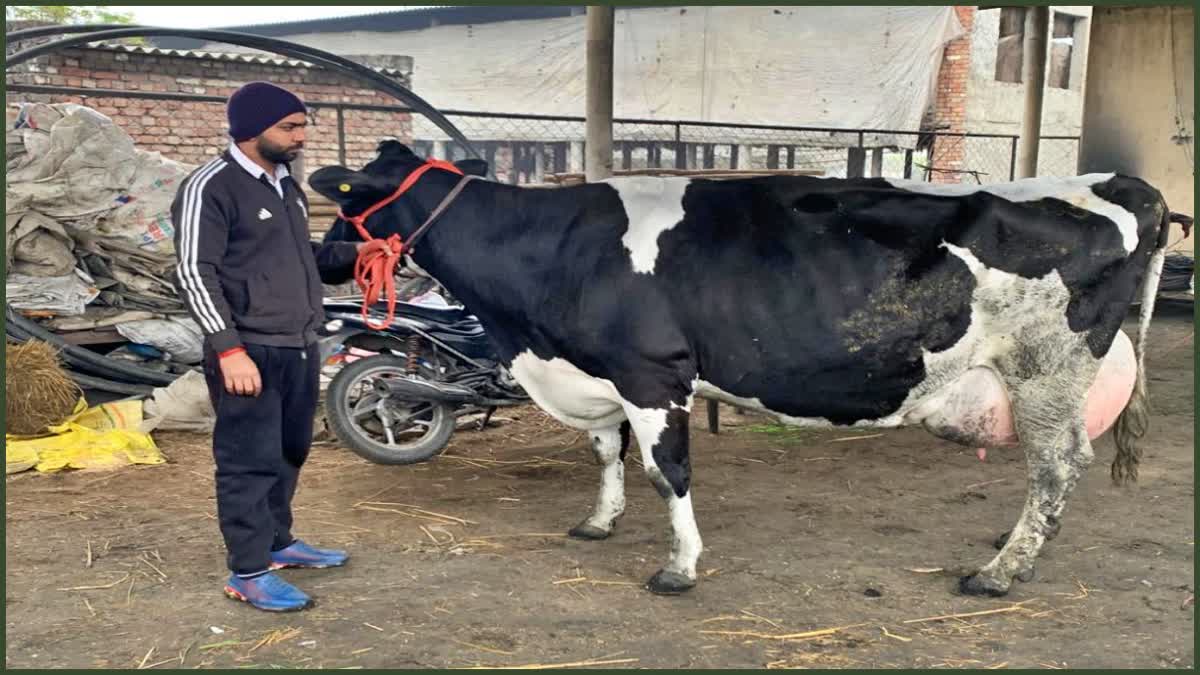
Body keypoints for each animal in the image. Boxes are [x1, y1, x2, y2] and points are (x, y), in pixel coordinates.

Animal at [312, 140, 1180, 593]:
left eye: (349, 199)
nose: (321, 260)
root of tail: (1118, 181)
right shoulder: (600, 376)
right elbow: (604, 452)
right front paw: (599, 521)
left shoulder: (653, 373)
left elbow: (667, 472)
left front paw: (679, 566)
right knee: (1054, 470)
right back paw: (1017, 540)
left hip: (1046, 367)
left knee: (1058, 464)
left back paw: (1001, 570)